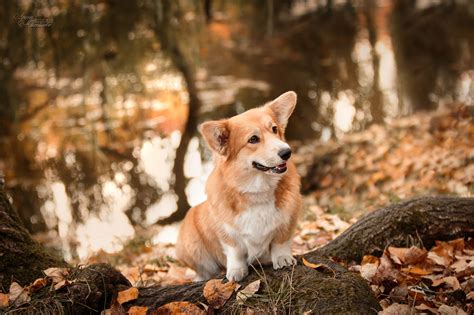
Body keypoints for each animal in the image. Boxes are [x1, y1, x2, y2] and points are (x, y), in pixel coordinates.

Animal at [176, 91, 302, 282]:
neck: (257, 190)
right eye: (253, 139)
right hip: (191, 244)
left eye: (274, 129)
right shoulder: (226, 232)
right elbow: (235, 251)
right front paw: (236, 270)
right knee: (203, 269)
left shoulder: (288, 220)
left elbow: (281, 241)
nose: (287, 152)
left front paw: (282, 258)